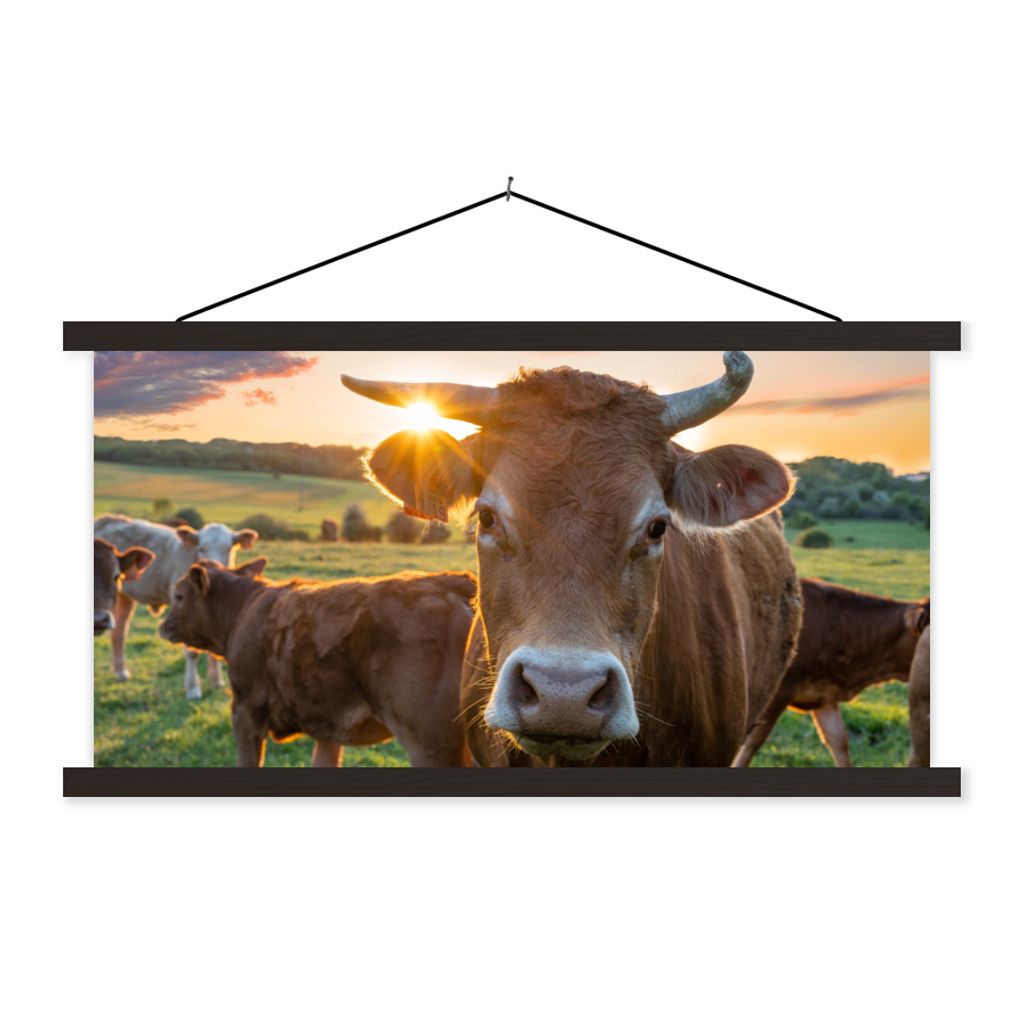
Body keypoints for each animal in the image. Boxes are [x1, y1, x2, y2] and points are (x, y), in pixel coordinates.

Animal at [93, 515, 258, 699]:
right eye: (201, 548)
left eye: (229, 548)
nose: (213, 566)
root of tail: (106, 518)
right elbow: (192, 652)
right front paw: (193, 688)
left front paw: (216, 681)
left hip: (124, 596)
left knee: (119, 632)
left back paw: (121, 672)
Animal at [159, 560, 476, 767]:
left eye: (179, 595)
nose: (163, 625)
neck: (243, 608)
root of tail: (449, 582)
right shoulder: (329, 721)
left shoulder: (245, 709)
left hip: (432, 743)